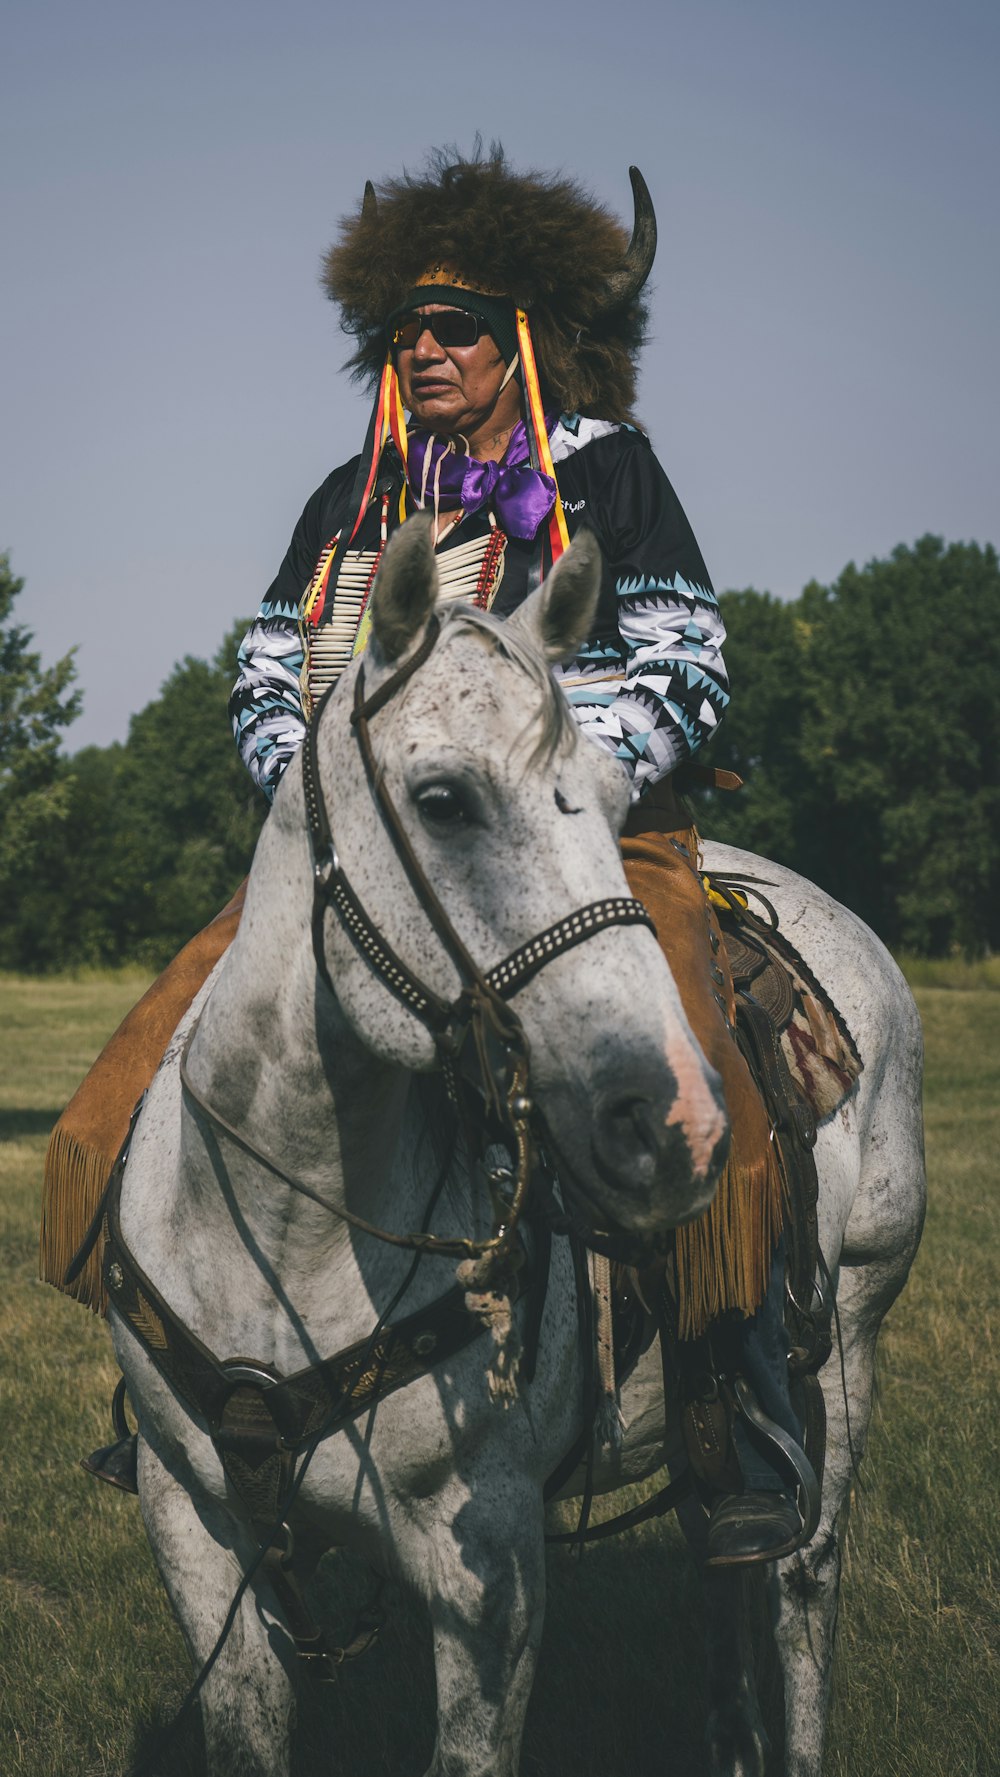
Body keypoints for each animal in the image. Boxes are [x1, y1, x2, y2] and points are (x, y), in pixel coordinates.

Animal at [109, 522, 923, 1777]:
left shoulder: (486, 1569)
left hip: (849, 1343)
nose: (677, 1122)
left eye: (611, 792)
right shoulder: (196, 1530)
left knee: (802, 1585)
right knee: (724, 1568)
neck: (287, 1230)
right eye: (443, 800)